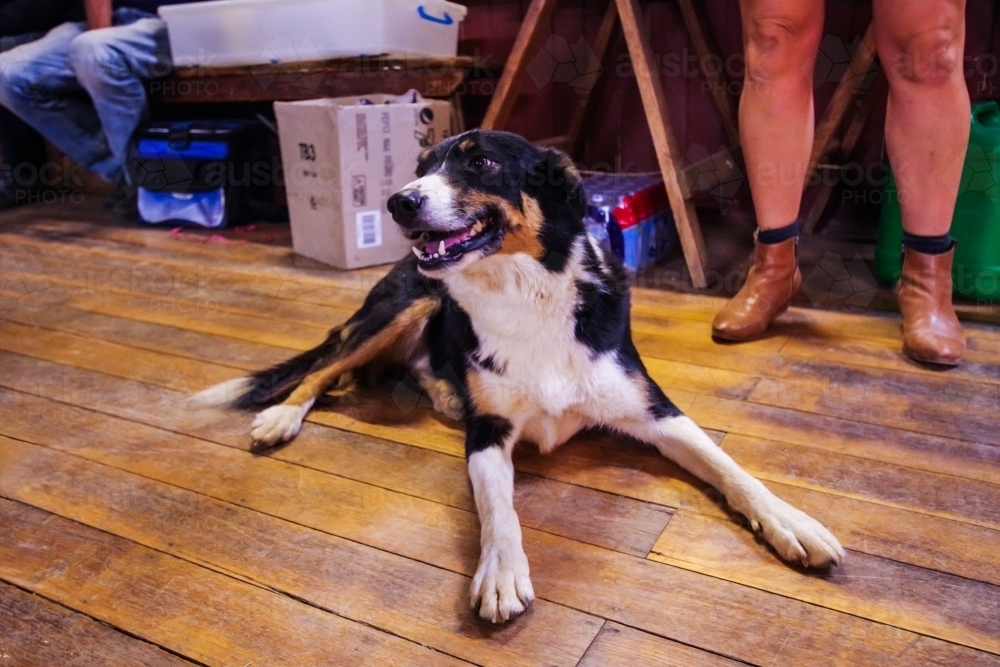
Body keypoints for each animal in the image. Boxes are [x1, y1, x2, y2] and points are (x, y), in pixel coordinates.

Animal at [201, 132, 844, 628]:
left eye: (481, 163)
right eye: (421, 166)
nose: (398, 201)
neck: (524, 293)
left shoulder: (655, 410)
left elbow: (728, 466)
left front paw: (790, 521)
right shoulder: (488, 432)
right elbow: (498, 509)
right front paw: (501, 573)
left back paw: (442, 390)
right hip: (405, 305)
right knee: (325, 366)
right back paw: (283, 414)